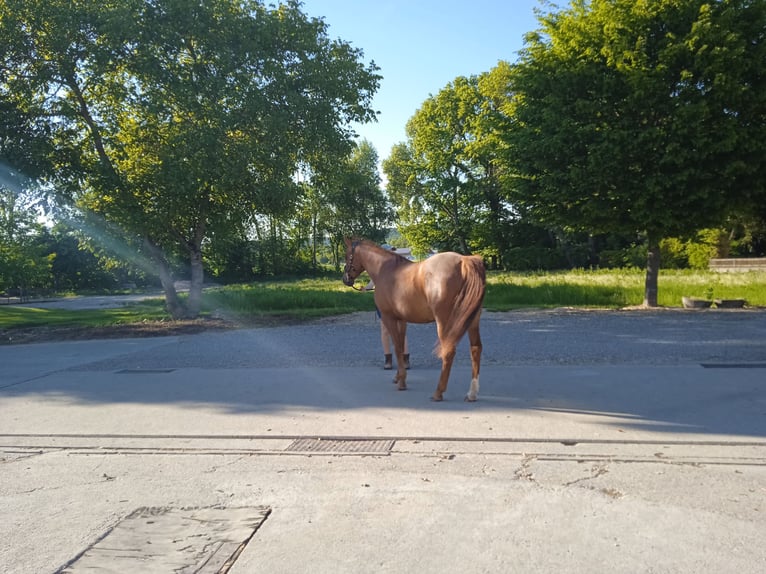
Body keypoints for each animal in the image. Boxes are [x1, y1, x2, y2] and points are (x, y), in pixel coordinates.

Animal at [342, 238, 486, 401]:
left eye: (347, 255)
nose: (345, 279)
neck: (385, 270)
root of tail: (464, 261)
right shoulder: (401, 320)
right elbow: (399, 345)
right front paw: (398, 376)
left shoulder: (389, 318)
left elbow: (397, 347)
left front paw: (402, 382)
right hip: (472, 321)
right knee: (476, 349)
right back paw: (472, 393)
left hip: (444, 323)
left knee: (448, 352)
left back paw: (438, 393)